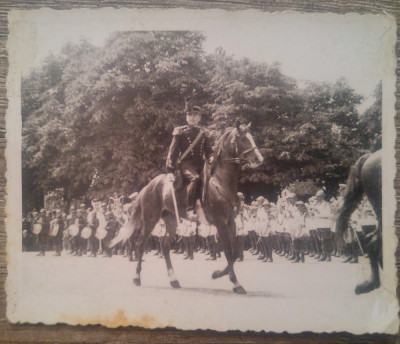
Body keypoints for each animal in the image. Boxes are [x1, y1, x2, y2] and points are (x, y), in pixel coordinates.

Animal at [111, 122, 264, 294]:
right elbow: (228, 252)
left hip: (171, 220)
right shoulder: (221, 223)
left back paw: (174, 280)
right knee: (140, 245)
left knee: (165, 247)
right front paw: (229, 279)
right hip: (150, 220)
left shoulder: (231, 222)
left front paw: (223, 276)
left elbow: (236, 251)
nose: (259, 159)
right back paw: (137, 278)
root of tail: (147, 186)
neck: (220, 183)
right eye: (242, 138)